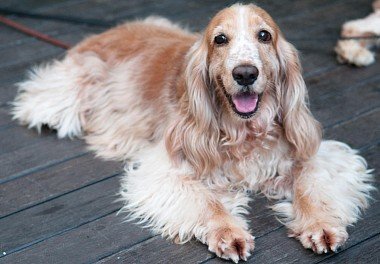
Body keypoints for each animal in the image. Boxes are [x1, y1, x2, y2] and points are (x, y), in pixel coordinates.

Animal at [12, 3, 374, 262]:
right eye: (220, 39)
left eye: (264, 36)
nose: (245, 73)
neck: (245, 131)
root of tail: (106, 32)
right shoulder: (165, 168)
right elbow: (206, 201)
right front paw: (228, 231)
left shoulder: (317, 154)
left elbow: (309, 185)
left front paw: (320, 224)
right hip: (65, 94)